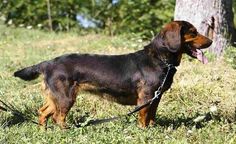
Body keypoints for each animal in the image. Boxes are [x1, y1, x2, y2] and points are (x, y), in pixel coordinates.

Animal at [13, 20, 212, 128]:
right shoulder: (146, 97)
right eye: (193, 32)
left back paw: (43, 132)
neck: (159, 59)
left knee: (43, 112)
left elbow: (152, 116)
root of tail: (47, 63)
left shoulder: (156, 98)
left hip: (55, 96)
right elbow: (143, 117)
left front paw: (153, 129)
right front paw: (144, 131)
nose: (211, 41)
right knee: (57, 117)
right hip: (65, 97)